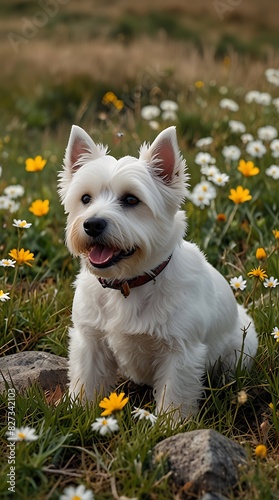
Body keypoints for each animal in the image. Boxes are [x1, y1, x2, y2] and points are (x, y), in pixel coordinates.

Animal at [58, 125, 258, 418]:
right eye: (85, 198)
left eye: (131, 199)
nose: (92, 224)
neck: (129, 284)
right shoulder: (90, 339)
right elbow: (87, 380)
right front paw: (78, 411)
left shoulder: (180, 352)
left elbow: (174, 397)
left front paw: (169, 424)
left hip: (239, 348)